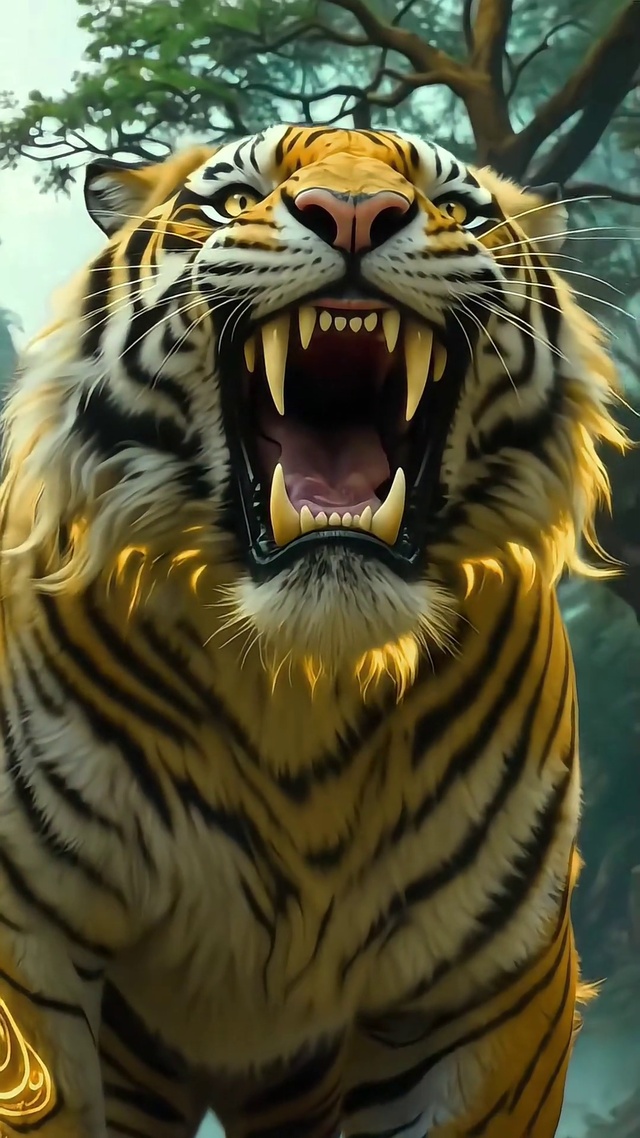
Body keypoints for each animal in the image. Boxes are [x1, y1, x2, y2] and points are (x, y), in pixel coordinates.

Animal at [0, 124, 626, 1138]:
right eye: (235, 197)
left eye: (456, 206)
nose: (357, 214)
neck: (303, 674)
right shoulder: (30, 934)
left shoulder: (487, 988)